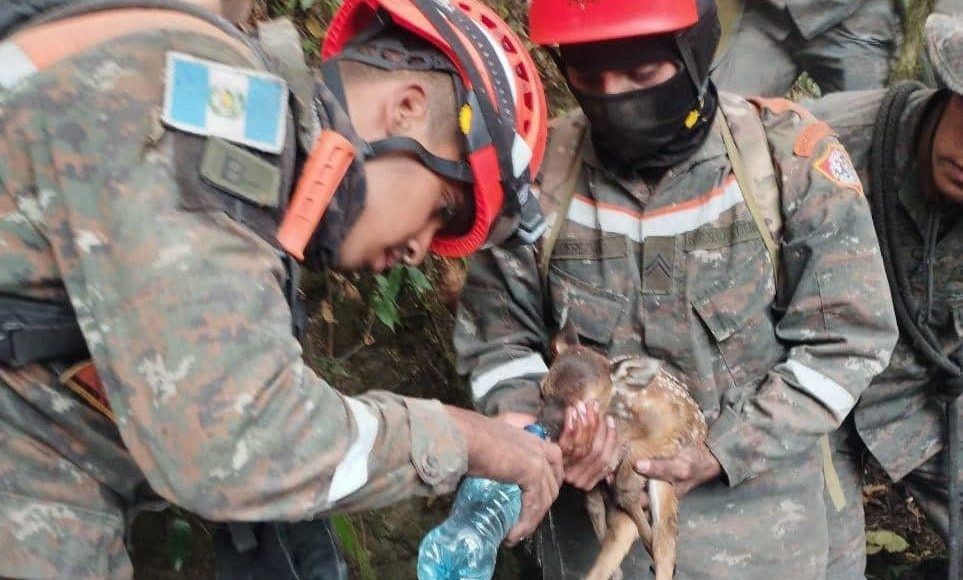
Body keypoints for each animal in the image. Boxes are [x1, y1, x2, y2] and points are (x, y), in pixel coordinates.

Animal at [544, 326, 708, 580]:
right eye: (542, 391)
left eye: (584, 407)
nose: (545, 426)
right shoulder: (594, 480)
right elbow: (596, 507)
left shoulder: (667, 430)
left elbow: (626, 484)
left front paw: (649, 543)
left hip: (665, 479)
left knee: (665, 540)